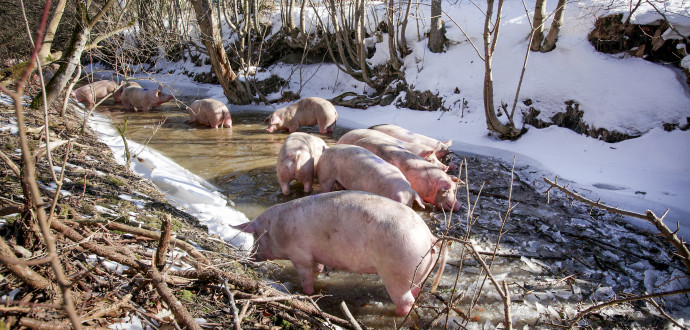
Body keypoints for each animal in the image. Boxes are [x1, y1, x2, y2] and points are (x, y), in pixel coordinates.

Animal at [231, 189, 446, 316]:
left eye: (256, 236)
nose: (249, 258)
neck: (277, 229)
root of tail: (430, 237)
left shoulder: (299, 255)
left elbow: (306, 276)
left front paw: (306, 293)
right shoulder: (315, 253)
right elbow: (317, 267)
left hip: (397, 270)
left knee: (405, 300)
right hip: (416, 273)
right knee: (415, 292)